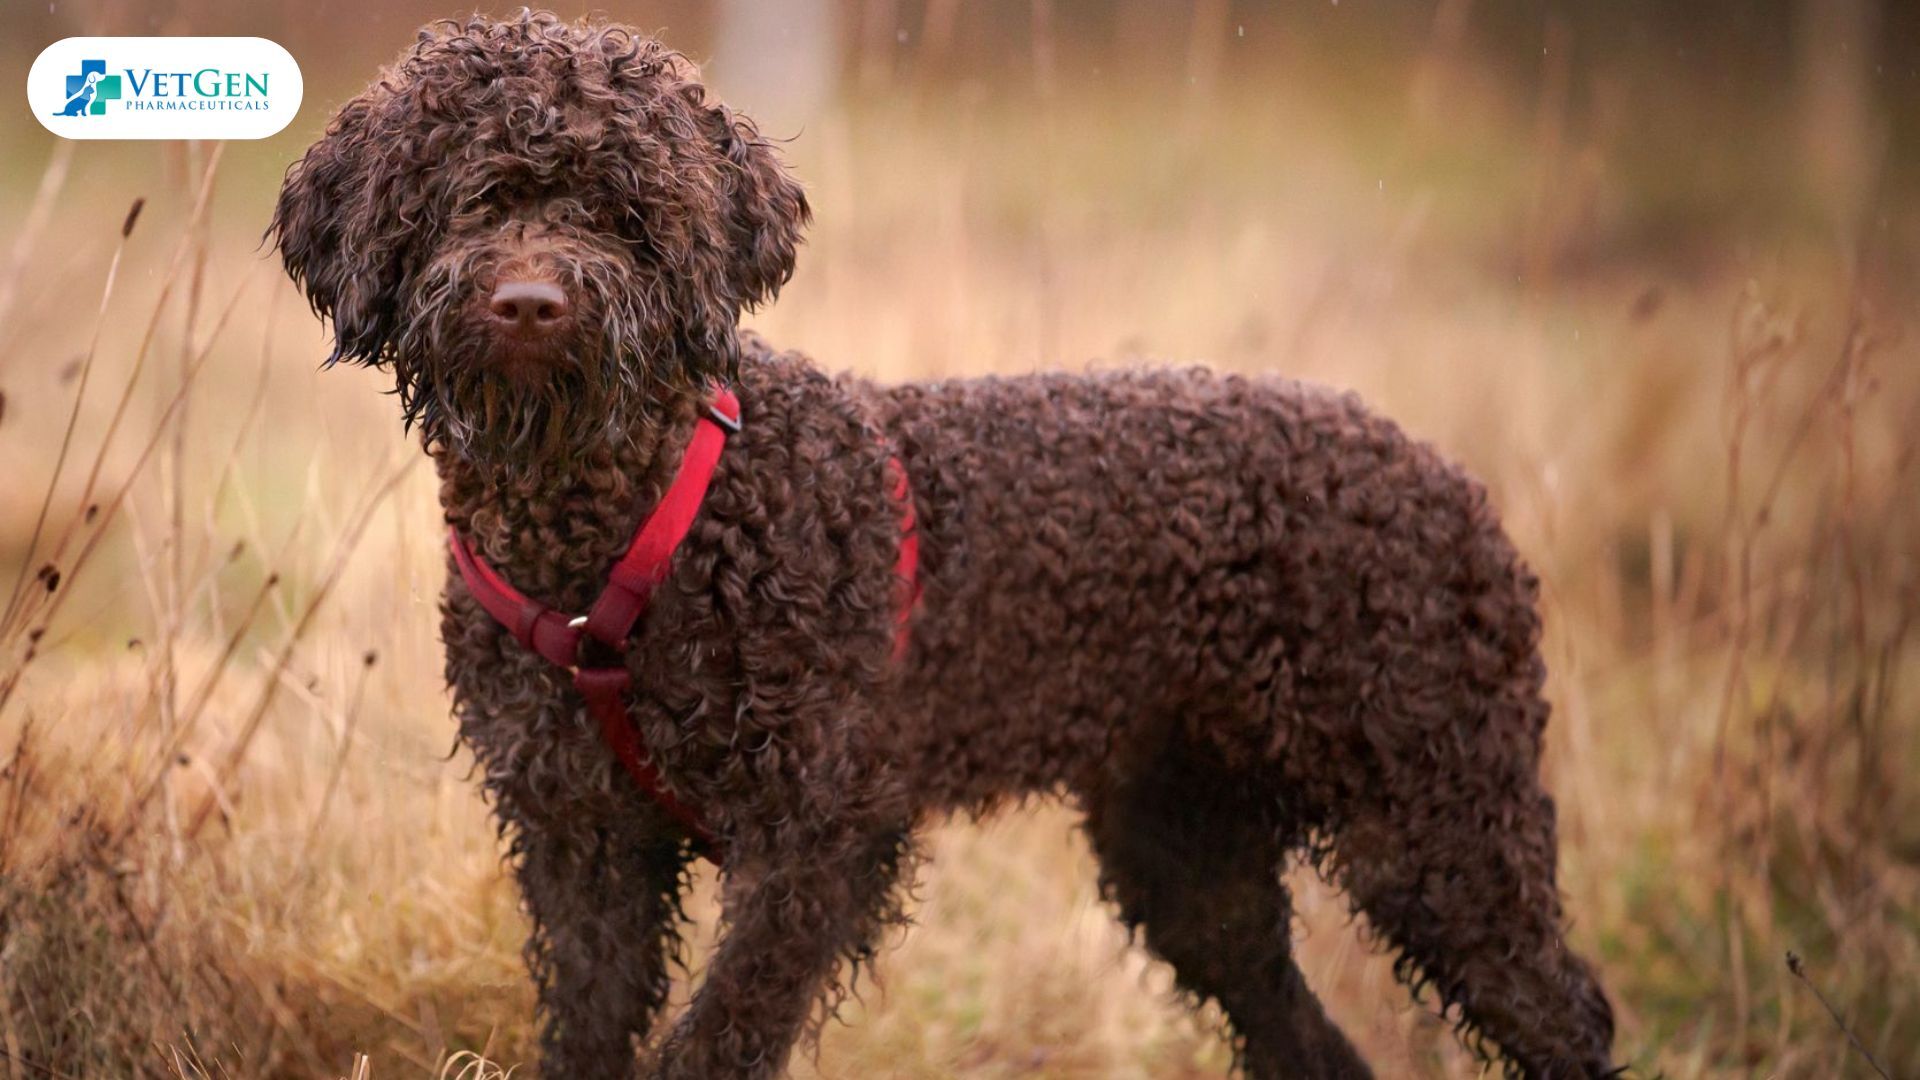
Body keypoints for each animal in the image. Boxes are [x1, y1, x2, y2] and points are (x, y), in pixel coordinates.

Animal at [270, 10, 1620, 1076]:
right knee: (1302, 1033)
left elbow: (711, 1041)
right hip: (1192, 856)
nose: (531, 305)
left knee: (1566, 1012)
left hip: (1436, 822)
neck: (625, 540)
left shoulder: (818, 843)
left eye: (626, 212)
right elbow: (592, 1030)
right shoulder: (580, 846)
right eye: (470, 196)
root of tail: (1458, 488)